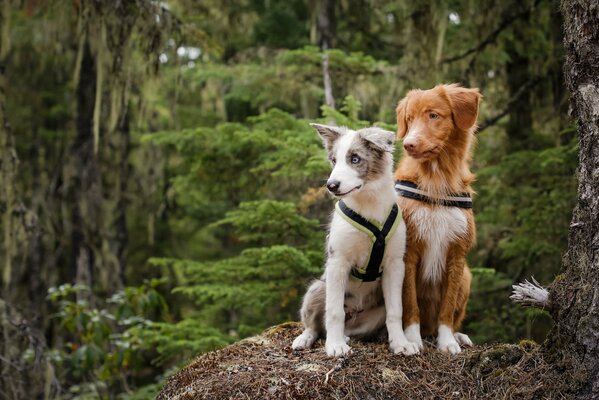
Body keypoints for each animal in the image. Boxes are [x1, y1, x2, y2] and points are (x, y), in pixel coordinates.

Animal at [292, 123, 420, 358]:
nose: (331, 185)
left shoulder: (395, 264)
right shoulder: (338, 262)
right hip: (317, 288)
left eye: (355, 159)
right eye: (334, 160)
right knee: (317, 325)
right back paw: (309, 339)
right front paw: (334, 346)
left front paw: (401, 343)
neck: (367, 204)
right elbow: (334, 311)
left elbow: (396, 310)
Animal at [394, 83, 482, 354]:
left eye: (433, 115)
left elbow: (447, 307)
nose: (409, 144)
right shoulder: (408, 252)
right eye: (409, 119)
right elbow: (410, 303)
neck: (436, 181)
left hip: (467, 276)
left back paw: (458, 335)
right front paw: (412, 339)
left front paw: (447, 341)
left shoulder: (457, 254)